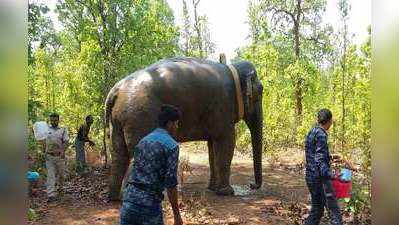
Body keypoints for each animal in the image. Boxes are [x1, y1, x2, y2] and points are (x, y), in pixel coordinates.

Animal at [104, 56, 264, 200]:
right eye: (260, 91)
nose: (252, 185)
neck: (233, 68)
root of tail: (115, 90)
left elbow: (212, 146)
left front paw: (212, 189)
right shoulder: (223, 105)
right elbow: (226, 141)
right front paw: (227, 192)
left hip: (118, 119)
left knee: (119, 154)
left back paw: (115, 198)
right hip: (140, 115)